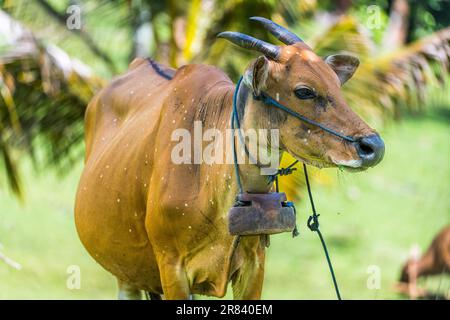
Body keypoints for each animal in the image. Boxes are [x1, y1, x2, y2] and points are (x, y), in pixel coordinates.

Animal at [74, 18, 384, 300]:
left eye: (337, 86)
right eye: (304, 91)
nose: (373, 146)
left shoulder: (254, 265)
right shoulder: (171, 266)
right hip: (125, 274)